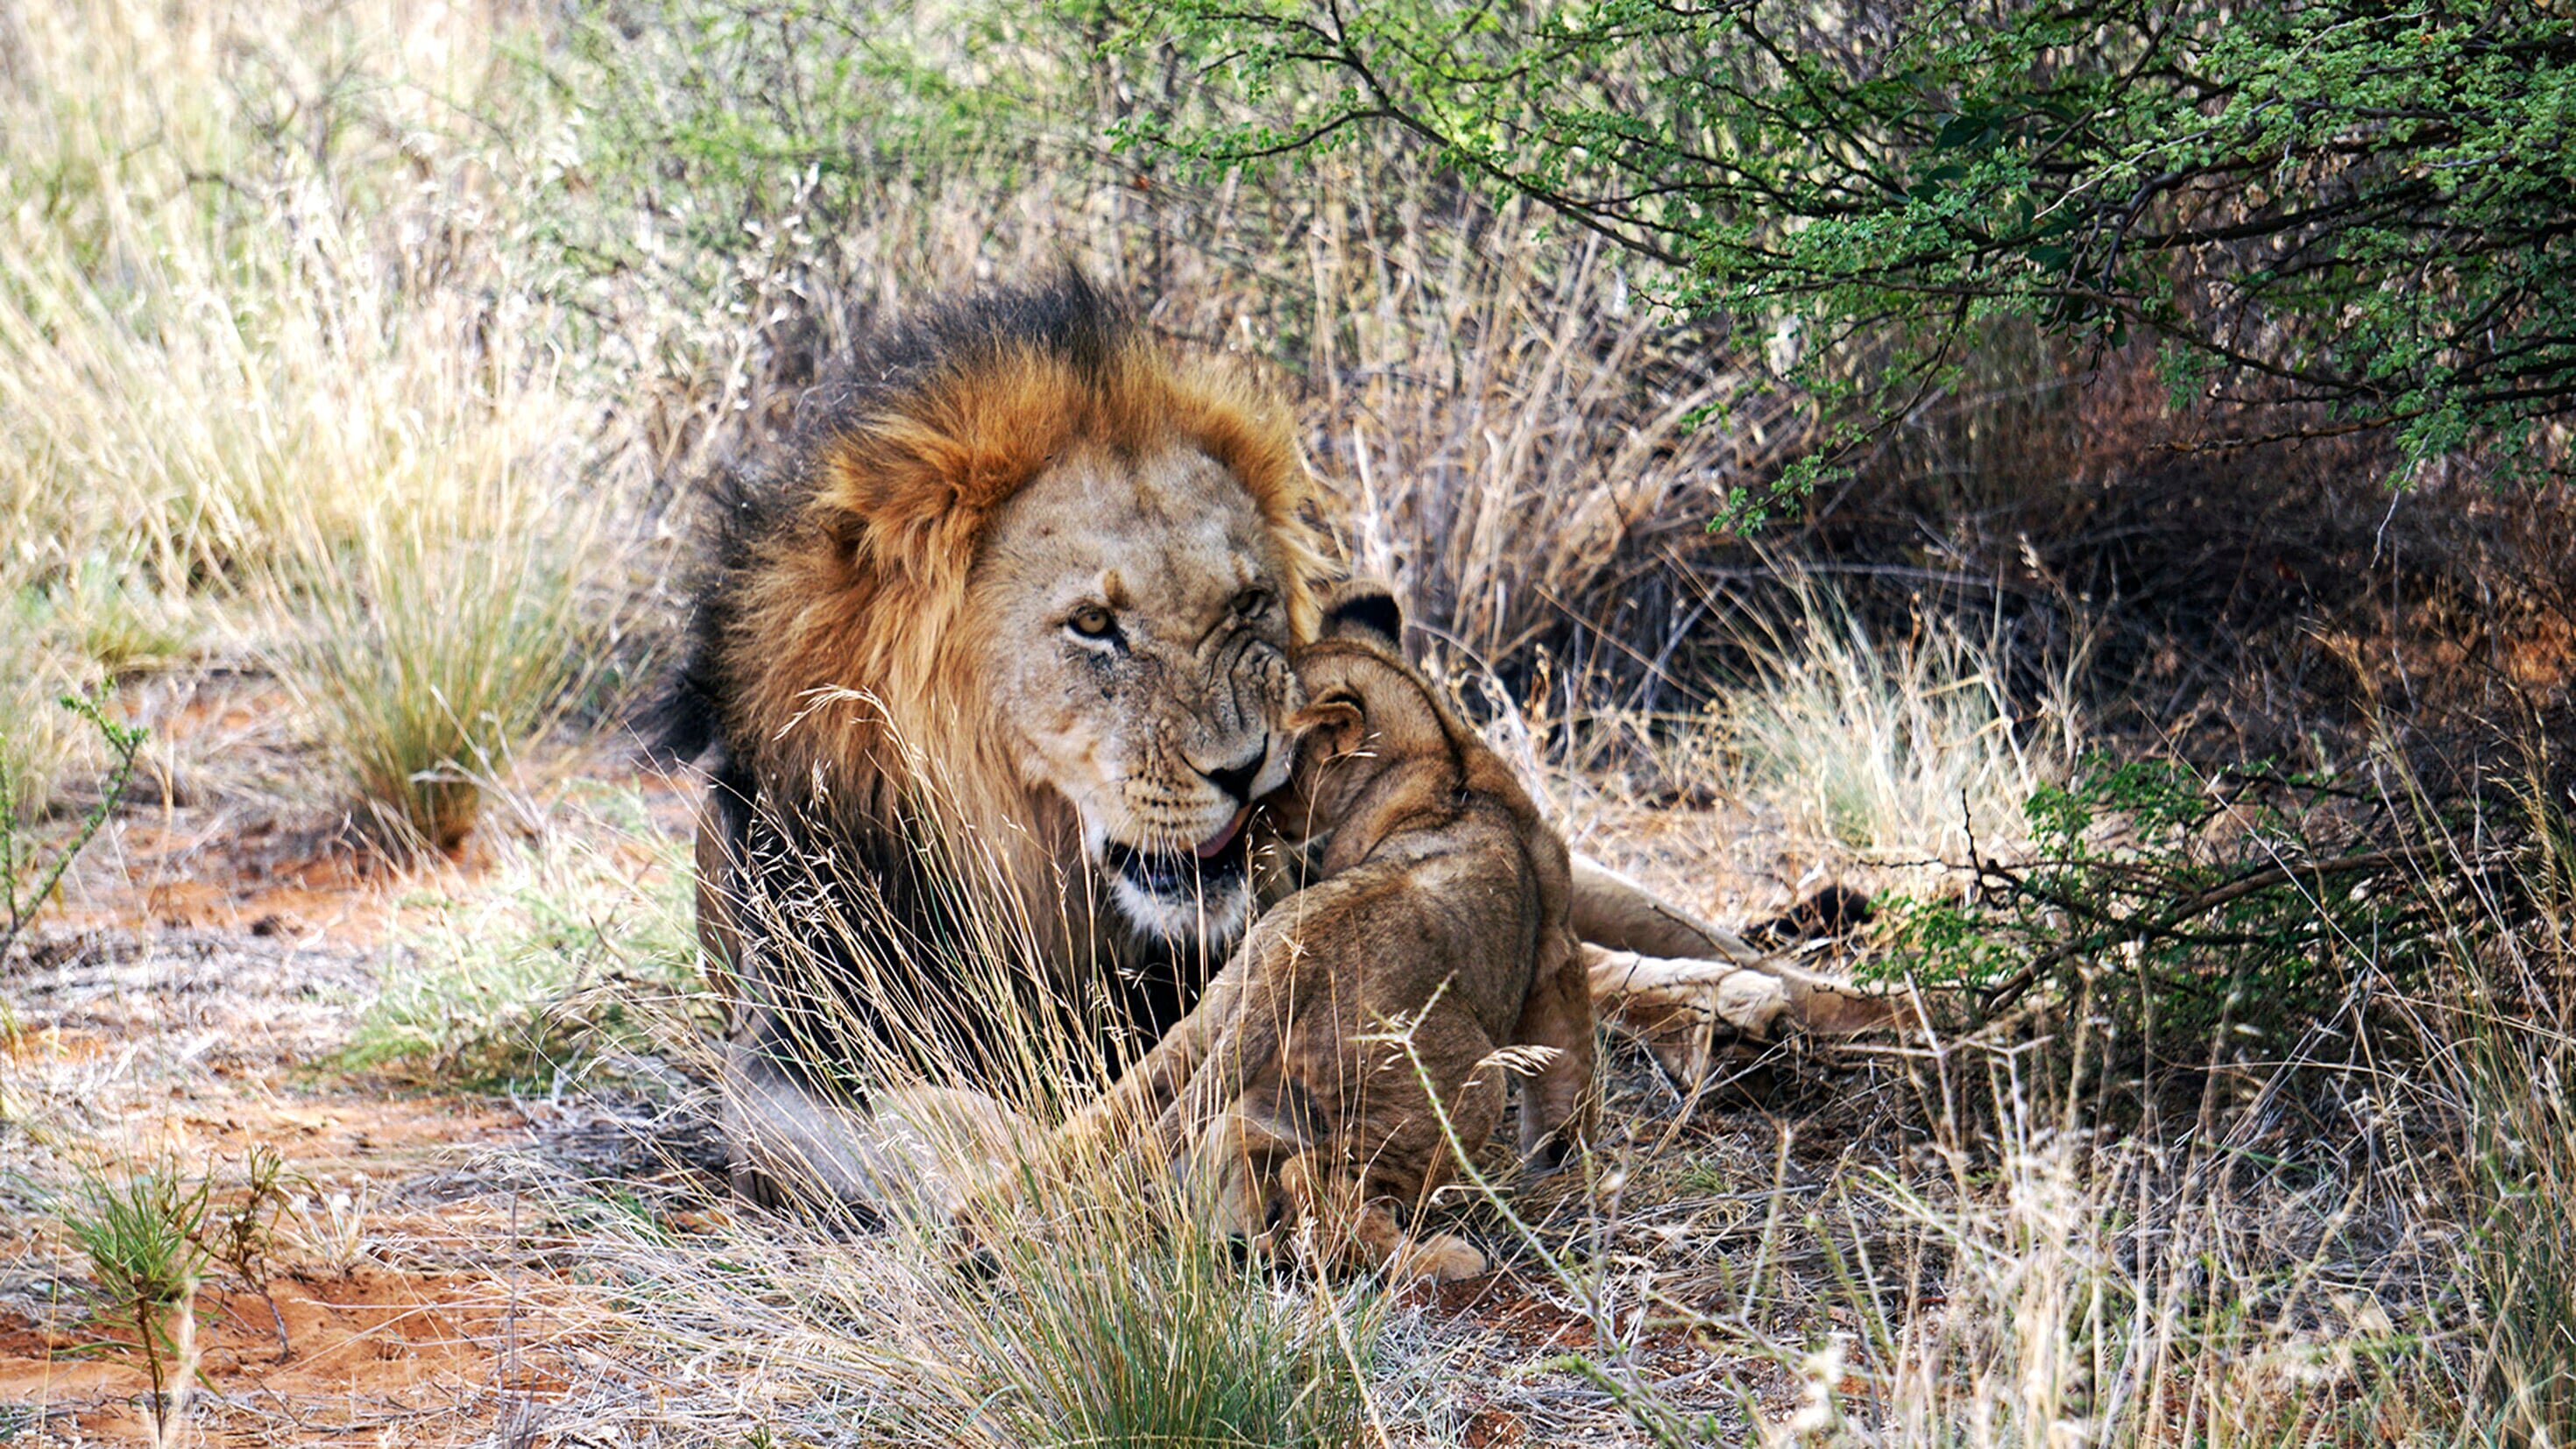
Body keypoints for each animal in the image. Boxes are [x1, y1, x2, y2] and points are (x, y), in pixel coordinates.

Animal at [654, 278, 1844, 1219]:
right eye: (1095, 625)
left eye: (1246, 606)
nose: (1243, 769)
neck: (1037, 874)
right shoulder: (792, 1052)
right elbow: (950, 1127)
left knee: (1660, 949)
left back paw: (1801, 1005)